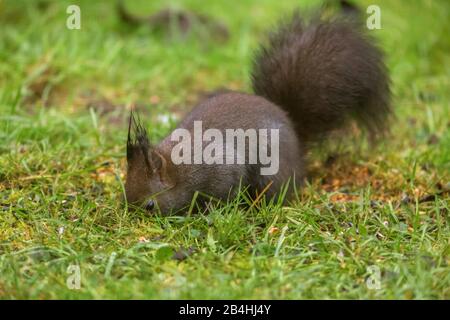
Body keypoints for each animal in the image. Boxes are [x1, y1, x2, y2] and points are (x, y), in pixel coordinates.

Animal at [125, 10, 392, 215]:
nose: (135, 219)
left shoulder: (219, 168)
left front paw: (207, 210)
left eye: (150, 205)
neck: (178, 169)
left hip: (270, 172)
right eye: (124, 196)